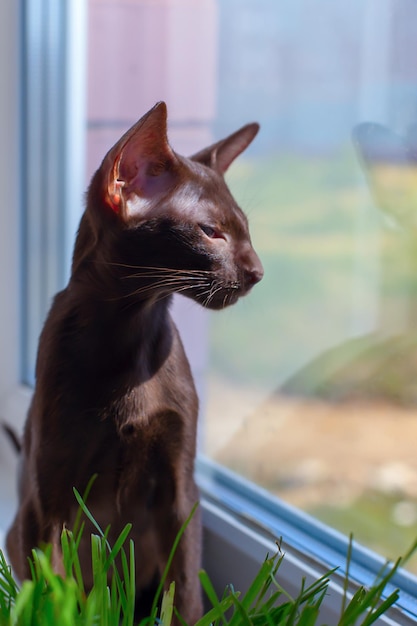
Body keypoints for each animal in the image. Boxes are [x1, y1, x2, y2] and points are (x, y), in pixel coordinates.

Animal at [4, 100, 262, 620]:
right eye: (211, 232)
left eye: (245, 230)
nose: (257, 272)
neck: (130, 334)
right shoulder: (49, 500)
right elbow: (52, 593)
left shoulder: (181, 490)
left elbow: (185, 589)